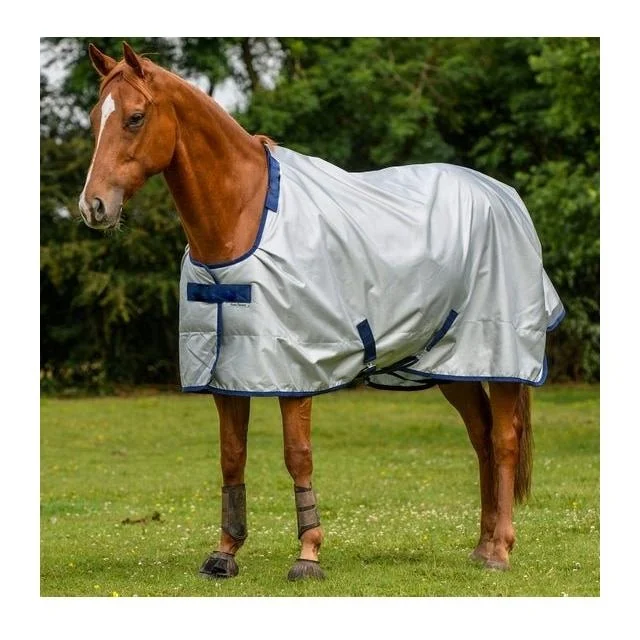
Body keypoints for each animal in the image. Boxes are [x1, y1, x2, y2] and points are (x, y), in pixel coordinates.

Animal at [77, 42, 564, 581]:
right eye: (95, 118)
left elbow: (298, 455)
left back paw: (500, 551)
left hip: (501, 356)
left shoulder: (297, 370)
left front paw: (308, 554)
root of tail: (503, 195)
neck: (242, 216)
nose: (93, 206)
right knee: (481, 437)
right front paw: (225, 553)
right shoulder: (228, 374)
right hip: (451, 363)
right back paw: (481, 547)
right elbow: (232, 457)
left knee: (504, 439)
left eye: (136, 117)